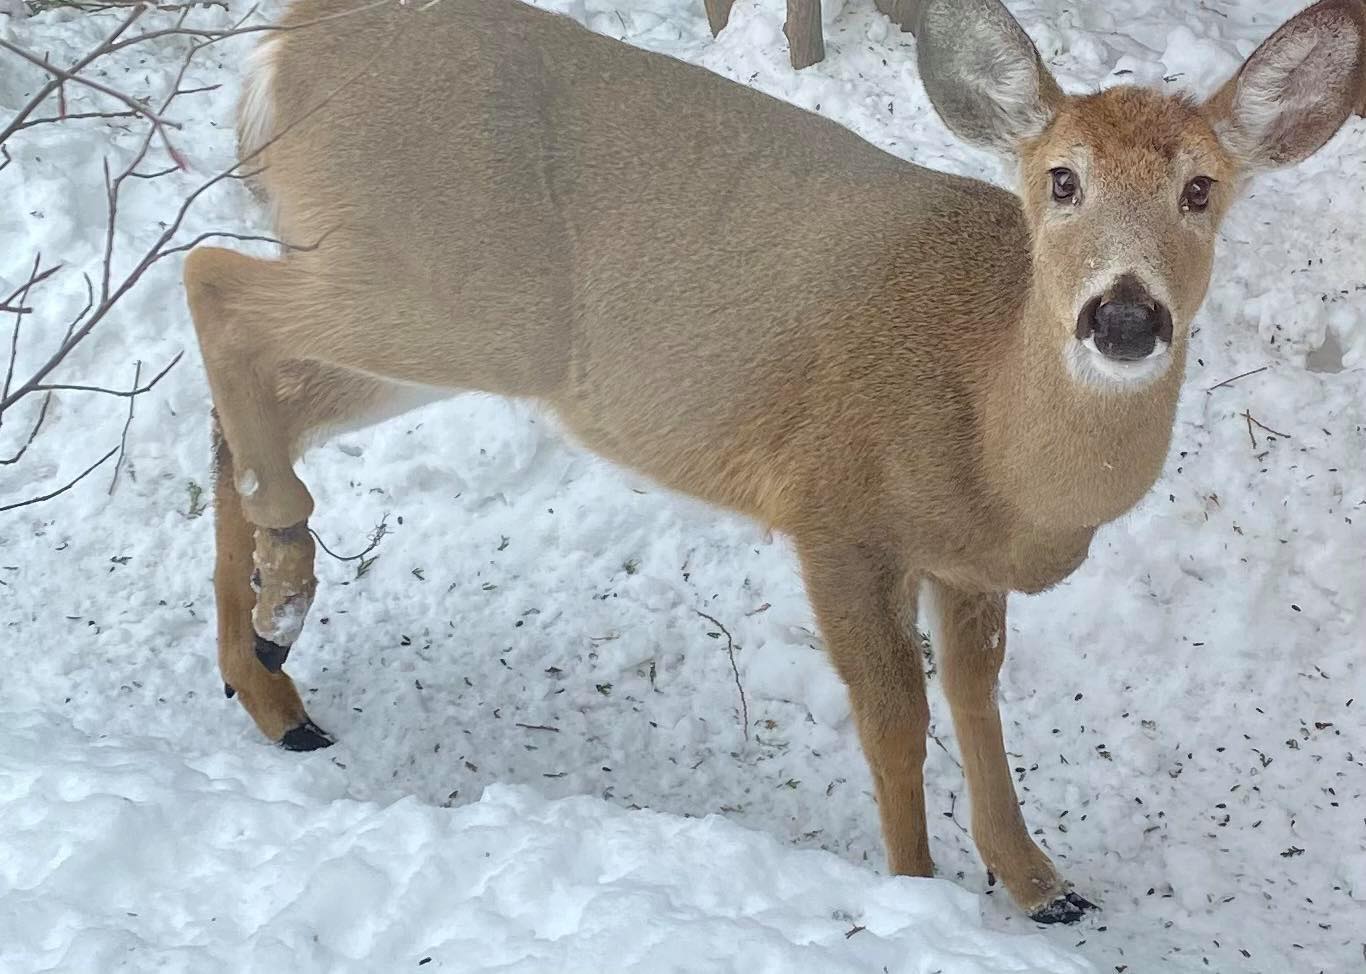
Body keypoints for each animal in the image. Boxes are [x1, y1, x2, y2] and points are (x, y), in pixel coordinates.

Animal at [184, 0, 1366, 917]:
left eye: (1202, 189)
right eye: (1061, 180)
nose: (1124, 315)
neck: (1001, 449)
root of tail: (280, 50)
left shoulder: (963, 563)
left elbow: (978, 695)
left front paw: (1040, 883)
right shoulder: (835, 509)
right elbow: (895, 717)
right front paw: (918, 892)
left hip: (441, 320)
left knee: (261, 393)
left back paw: (270, 682)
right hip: (450, 288)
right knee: (212, 282)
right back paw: (286, 583)